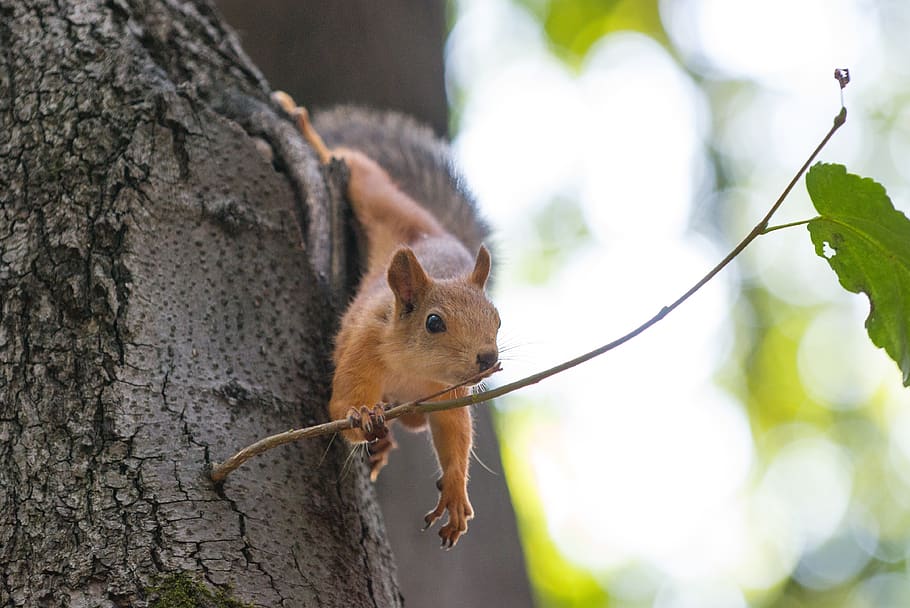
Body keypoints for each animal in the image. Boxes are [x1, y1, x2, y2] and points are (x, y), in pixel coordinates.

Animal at [274, 91, 502, 552]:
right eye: (433, 323)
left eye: (498, 319)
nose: (487, 359)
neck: (411, 369)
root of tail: (427, 230)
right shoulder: (364, 345)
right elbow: (341, 405)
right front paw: (363, 415)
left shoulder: (449, 391)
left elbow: (454, 433)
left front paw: (455, 492)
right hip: (377, 196)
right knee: (356, 166)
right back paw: (302, 123)